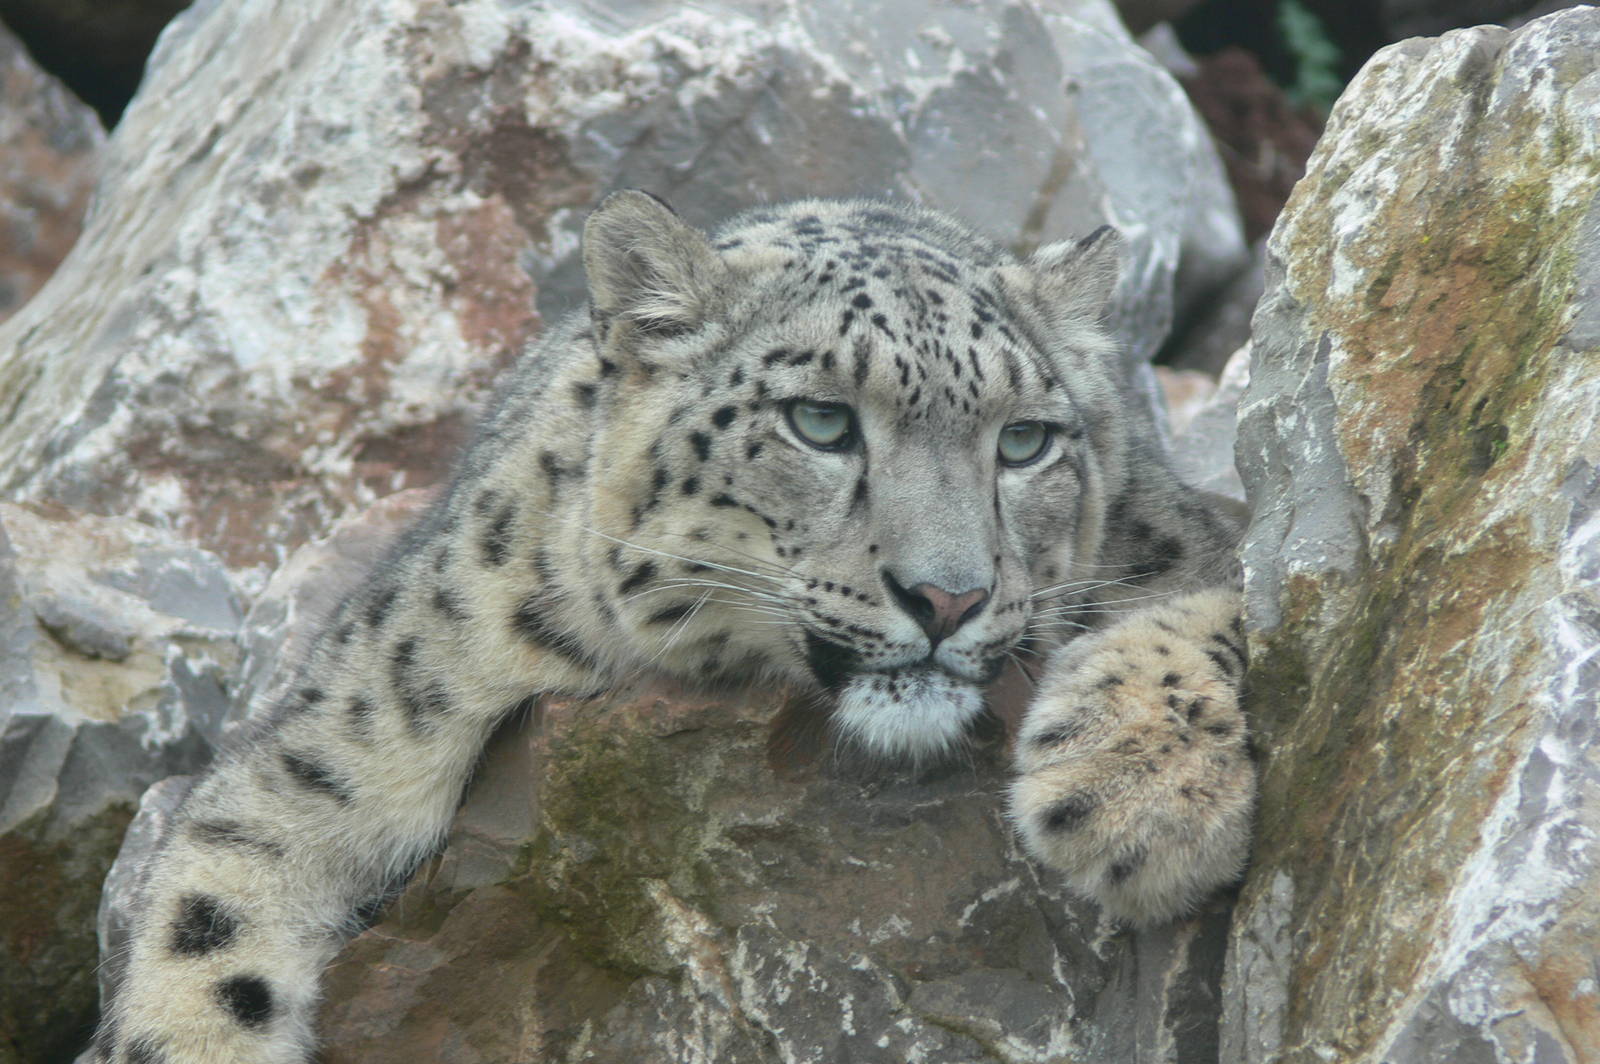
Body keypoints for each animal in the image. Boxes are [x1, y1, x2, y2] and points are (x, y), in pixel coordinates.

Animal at [86, 191, 1255, 1063]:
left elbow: (1250, 598)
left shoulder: (1197, 544)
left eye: (1025, 441)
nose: (948, 596)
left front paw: (1135, 792)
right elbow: (205, 926)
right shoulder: (347, 734)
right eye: (820, 420)